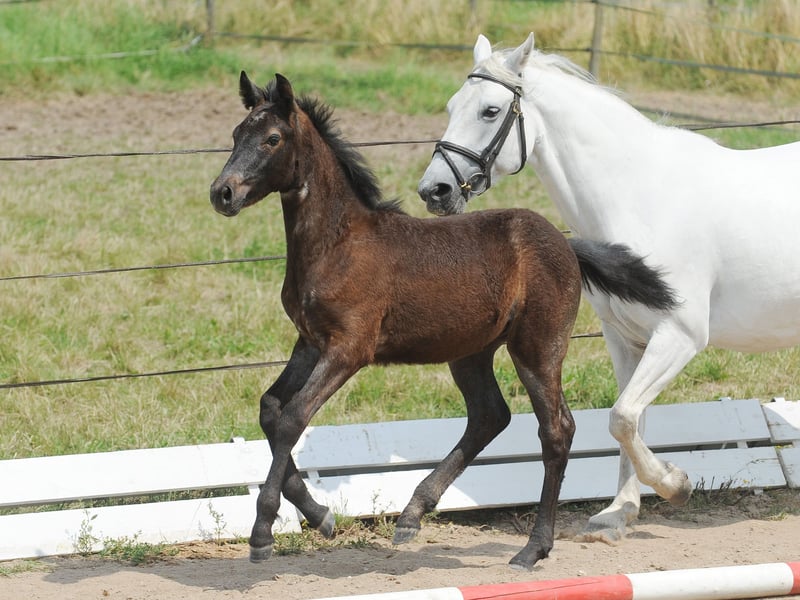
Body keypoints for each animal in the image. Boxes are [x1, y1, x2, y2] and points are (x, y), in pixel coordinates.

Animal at [209, 71, 677, 570]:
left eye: (272, 139)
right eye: (235, 134)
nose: (223, 193)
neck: (337, 244)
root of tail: (567, 244)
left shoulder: (348, 348)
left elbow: (294, 417)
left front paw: (263, 531)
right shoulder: (310, 341)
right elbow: (271, 410)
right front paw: (321, 515)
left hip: (537, 347)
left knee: (556, 430)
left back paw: (533, 548)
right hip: (471, 352)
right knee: (490, 415)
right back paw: (413, 514)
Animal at [418, 32, 800, 544]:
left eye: (490, 111)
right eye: (452, 105)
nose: (434, 191)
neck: (638, 196)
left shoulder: (679, 336)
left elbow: (622, 417)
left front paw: (676, 484)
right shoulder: (625, 338)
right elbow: (627, 420)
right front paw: (619, 514)